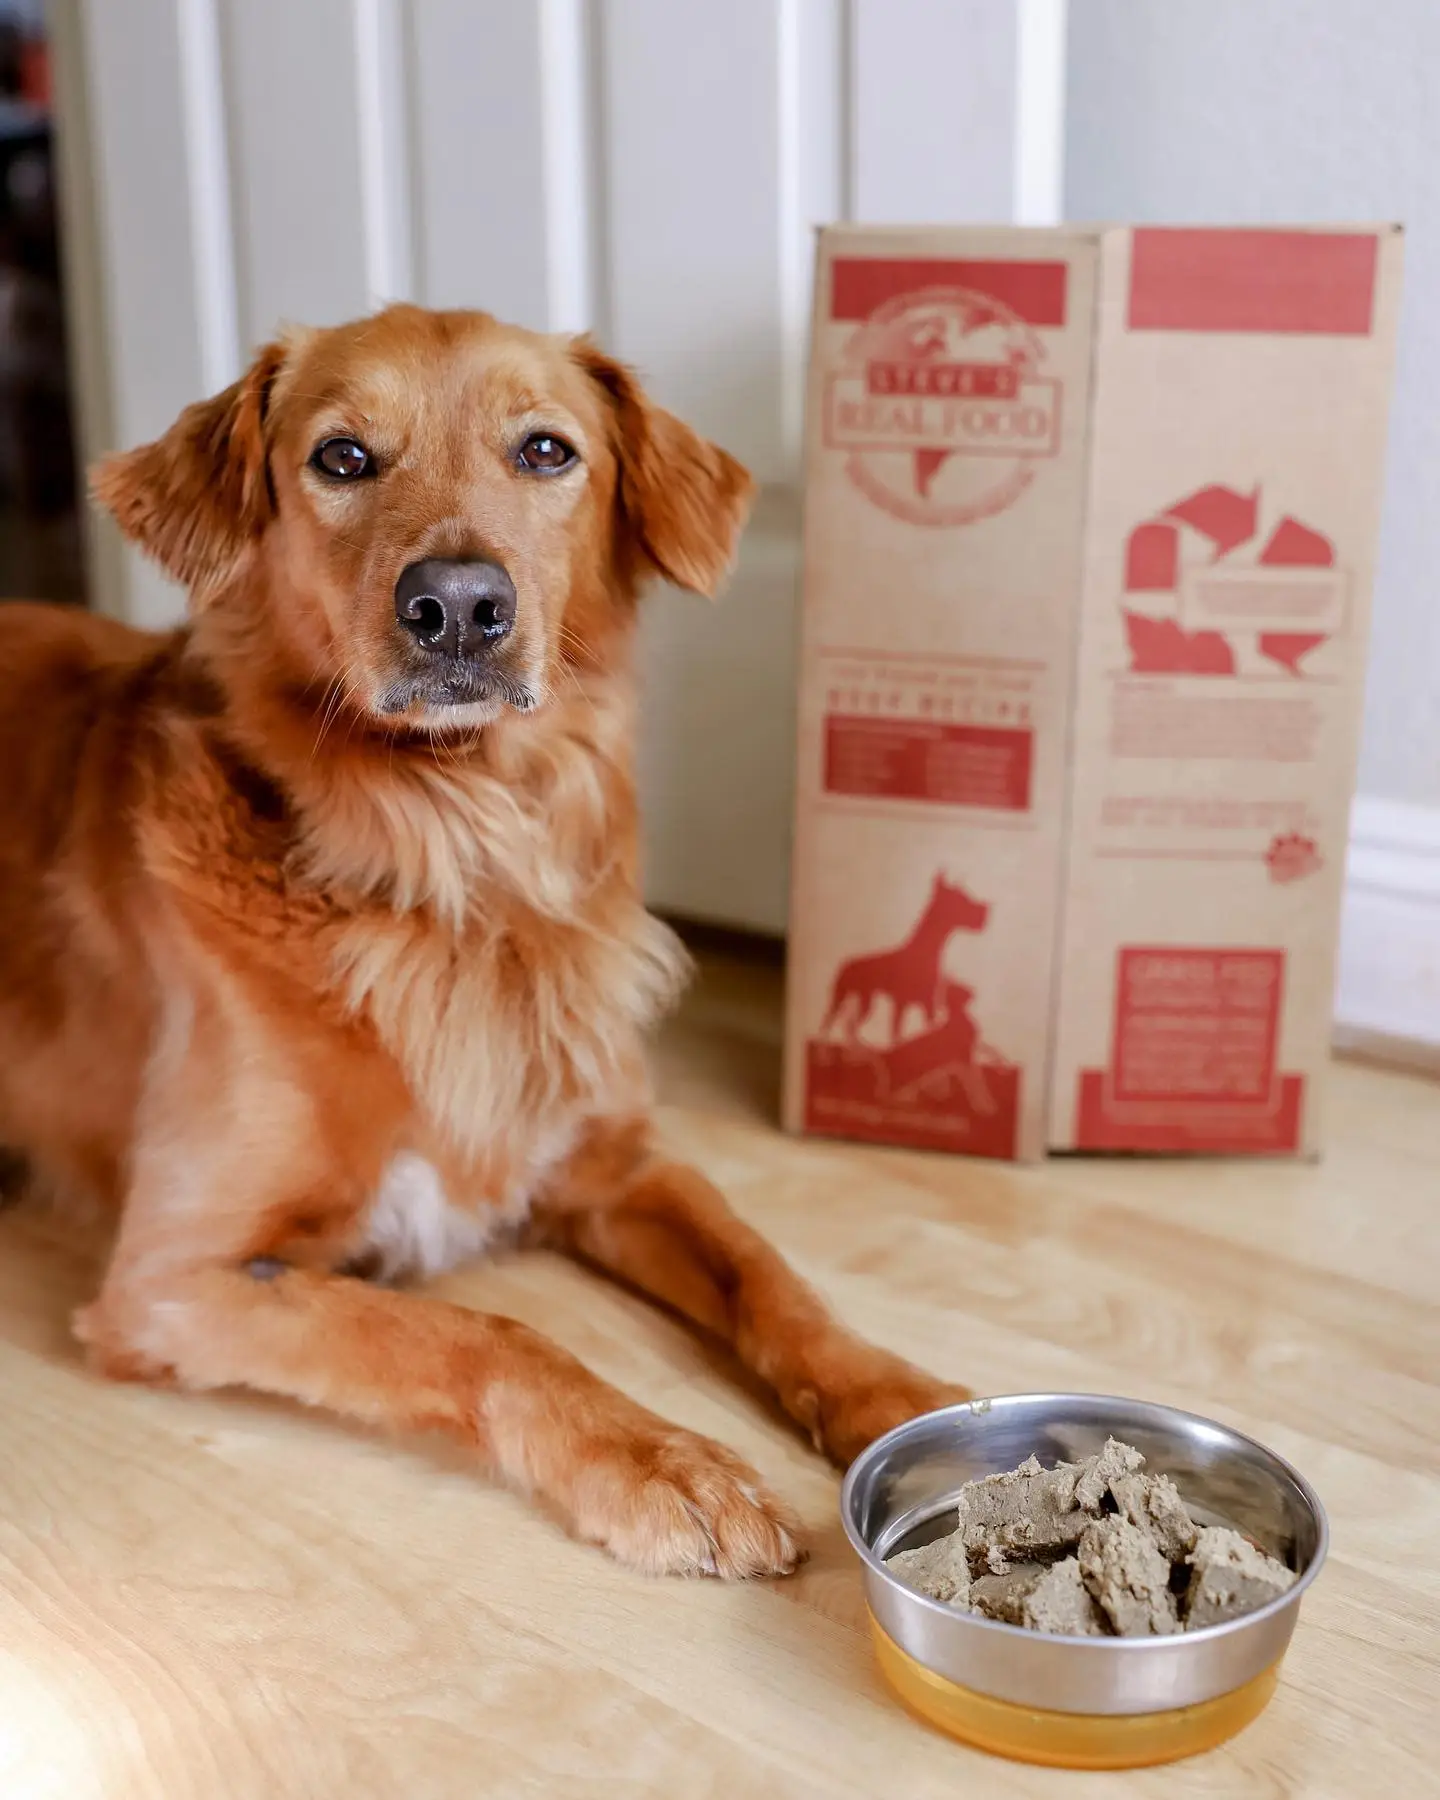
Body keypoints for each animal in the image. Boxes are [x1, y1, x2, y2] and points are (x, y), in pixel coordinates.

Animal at [2, 306, 964, 1576]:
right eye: (343, 458)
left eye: (546, 451)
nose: (456, 605)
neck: (460, 860)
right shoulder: (174, 1273)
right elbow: (481, 1331)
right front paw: (661, 1461)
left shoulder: (620, 1165)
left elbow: (769, 1274)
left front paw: (897, 1397)